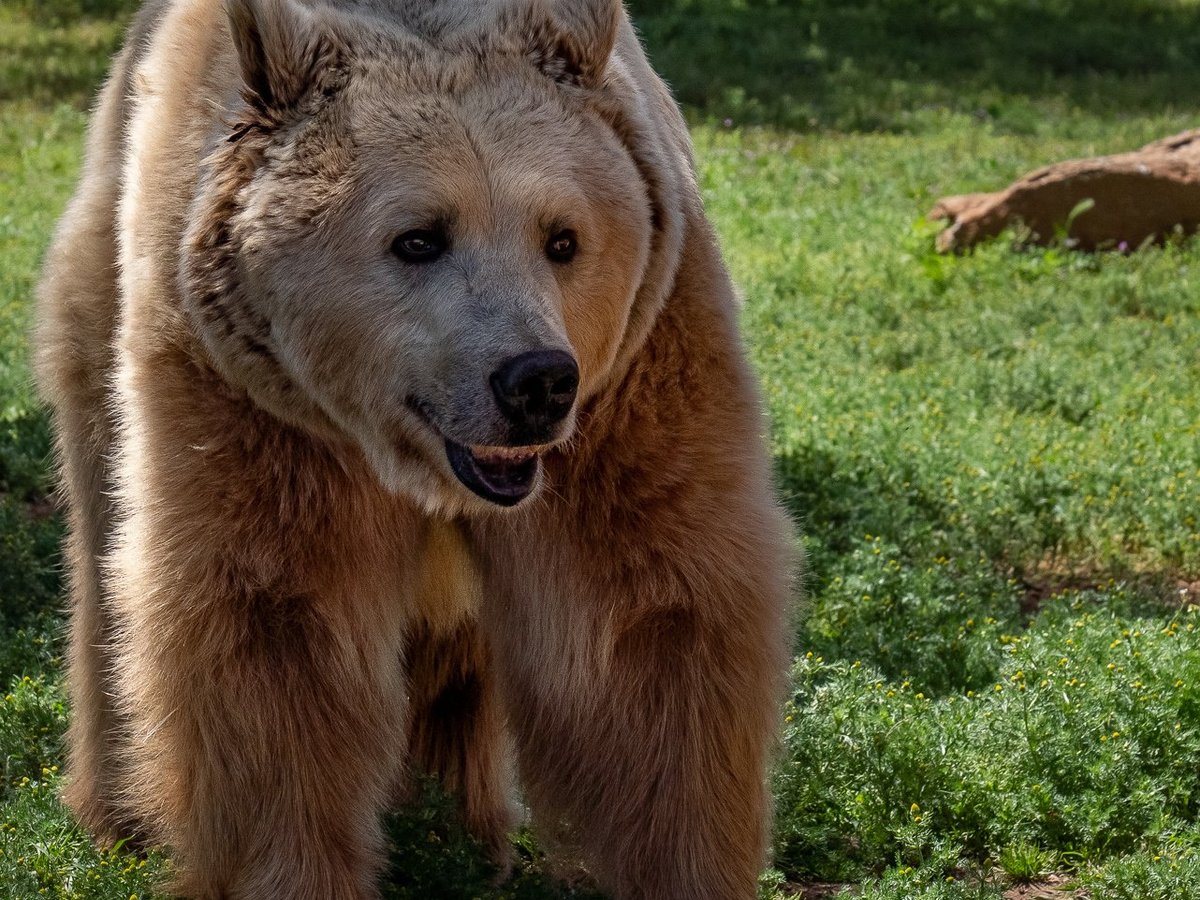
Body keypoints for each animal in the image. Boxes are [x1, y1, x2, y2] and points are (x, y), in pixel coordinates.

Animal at [32, 0, 792, 897]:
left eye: (563, 238)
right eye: (419, 238)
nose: (536, 381)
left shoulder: (637, 368)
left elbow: (646, 608)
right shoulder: (259, 405)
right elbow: (274, 622)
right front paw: (290, 868)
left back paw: (466, 826)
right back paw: (119, 814)